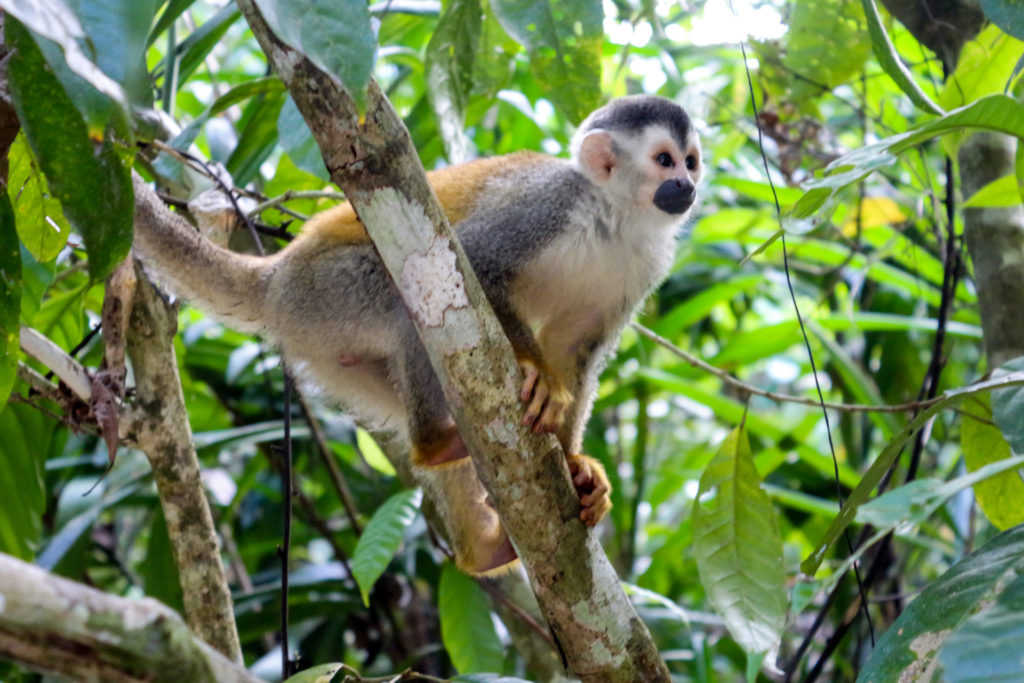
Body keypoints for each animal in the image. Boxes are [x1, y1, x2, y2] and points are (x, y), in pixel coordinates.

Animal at [132, 94, 700, 577]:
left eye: (691, 161)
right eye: (664, 161)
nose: (689, 186)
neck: (614, 216)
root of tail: (277, 278)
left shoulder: (645, 266)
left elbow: (579, 349)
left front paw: (576, 466)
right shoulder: (547, 206)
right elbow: (476, 263)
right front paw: (539, 375)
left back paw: (483, 545)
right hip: (327, 291)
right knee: (420, 299)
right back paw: (435, 444)